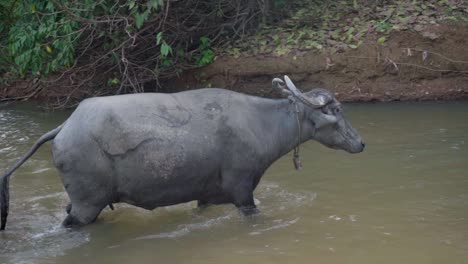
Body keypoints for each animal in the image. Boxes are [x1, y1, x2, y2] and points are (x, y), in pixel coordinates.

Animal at [0, 75, 364, 230]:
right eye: (337, 111)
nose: (361, 143)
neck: (260, 124)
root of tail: (64, 127)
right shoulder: (243, 191)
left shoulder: (206, 195)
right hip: (86, 204)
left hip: (87, 200)